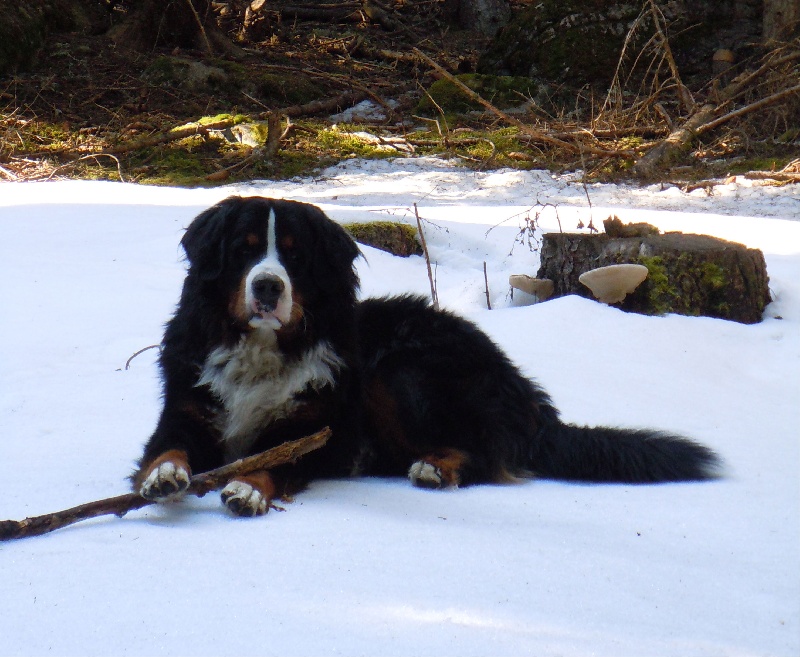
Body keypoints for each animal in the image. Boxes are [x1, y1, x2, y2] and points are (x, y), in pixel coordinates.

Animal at [133, 196, 720, 516]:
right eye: (245, 250)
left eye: (295, 258)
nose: (268, 288)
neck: (260, 349)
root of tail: (525, 392)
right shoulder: (186, 411)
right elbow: (168, 450)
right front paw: (163, 478)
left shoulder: (315, 431)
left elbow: (273, 460)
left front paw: (247, 490)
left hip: (400, 369)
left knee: (489, 454)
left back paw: (436, 468)